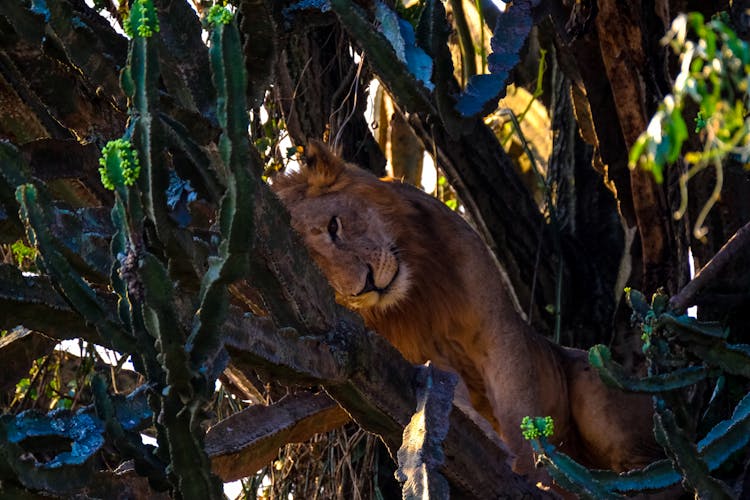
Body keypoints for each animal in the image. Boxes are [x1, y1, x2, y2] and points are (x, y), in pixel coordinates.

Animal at [272, 140, 656, 480]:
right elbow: (454, 403)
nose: (364, 286)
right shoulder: (421, 359)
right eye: (317, 269)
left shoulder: (496, 330)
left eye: (334, 227)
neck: (416, 297)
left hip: (594, 382)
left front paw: (532, 473)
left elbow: (519, 414)